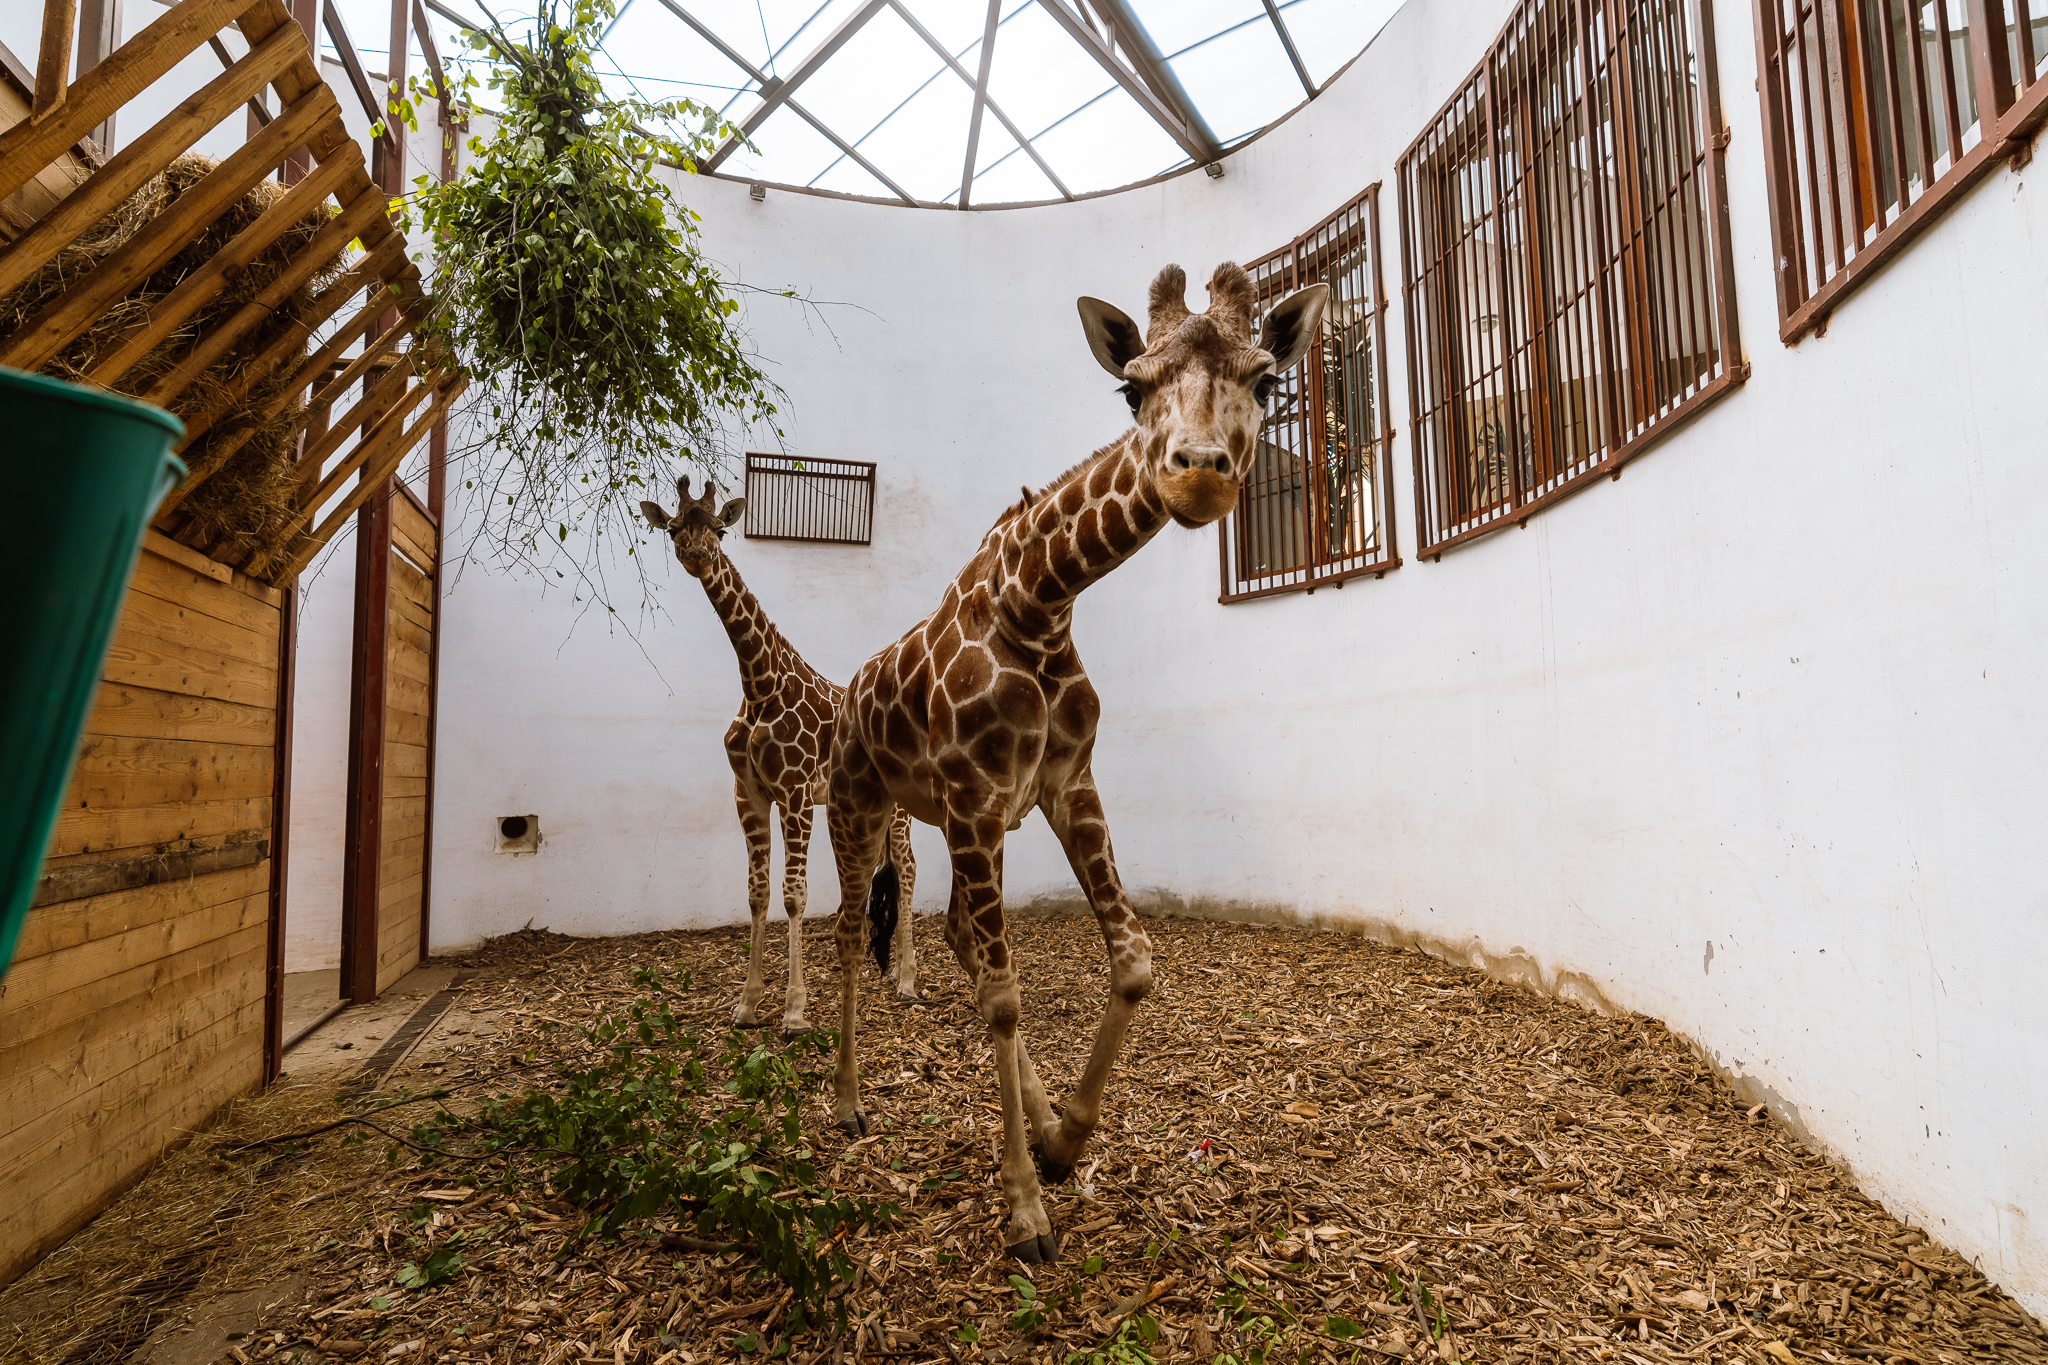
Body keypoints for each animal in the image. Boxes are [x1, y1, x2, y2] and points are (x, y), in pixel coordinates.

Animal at [638, 474, 921, 1031]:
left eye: (721, 529)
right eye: (675, 528)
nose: (697, 555)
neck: (760, 686)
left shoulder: (793, 793)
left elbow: (794, 895)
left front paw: (794, 1011)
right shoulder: (748, 792)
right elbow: (756, 893)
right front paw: (747, 1004)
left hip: (899, 809)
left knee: (908, 867)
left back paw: (907, 983)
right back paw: (883, 974)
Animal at [815, 263, 1327, 1260]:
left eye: (1266, 380)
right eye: (1132, 388)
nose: (1197, 475)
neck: (1040, 601)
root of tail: (848, 691)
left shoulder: (1060, 784)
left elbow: (1130, 960)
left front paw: (1063, 1143)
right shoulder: (977, 796)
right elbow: (1005, 996)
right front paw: (1022, 1208)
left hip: (947, 821)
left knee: (954, 934)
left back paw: (1039, 1114)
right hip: (859, 804)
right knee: (856, 933)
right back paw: (850, 1103)